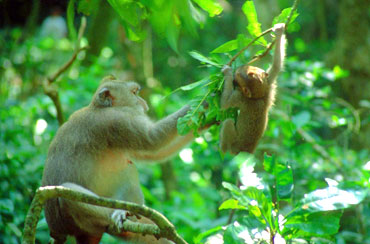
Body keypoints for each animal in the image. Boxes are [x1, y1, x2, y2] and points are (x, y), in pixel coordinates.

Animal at [42, 75, 197, 243]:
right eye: (134, 93)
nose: (145, 105)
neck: (98, 107)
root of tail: (56, 231)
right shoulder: (115, 120)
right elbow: (153, 139)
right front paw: (199, 104)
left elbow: (153, 153)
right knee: (66, 194)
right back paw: (118, 214)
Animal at [220, 24, 286, 154]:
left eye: (238, 74)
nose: (235, 72)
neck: (257, 97)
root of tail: (245, 151)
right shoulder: (268, 85)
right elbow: (277, 65)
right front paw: (279, 32)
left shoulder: (239, 96)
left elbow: (225, 104)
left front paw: (227, 72)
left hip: (233, 145)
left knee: (228, 123)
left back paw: (222, 148)